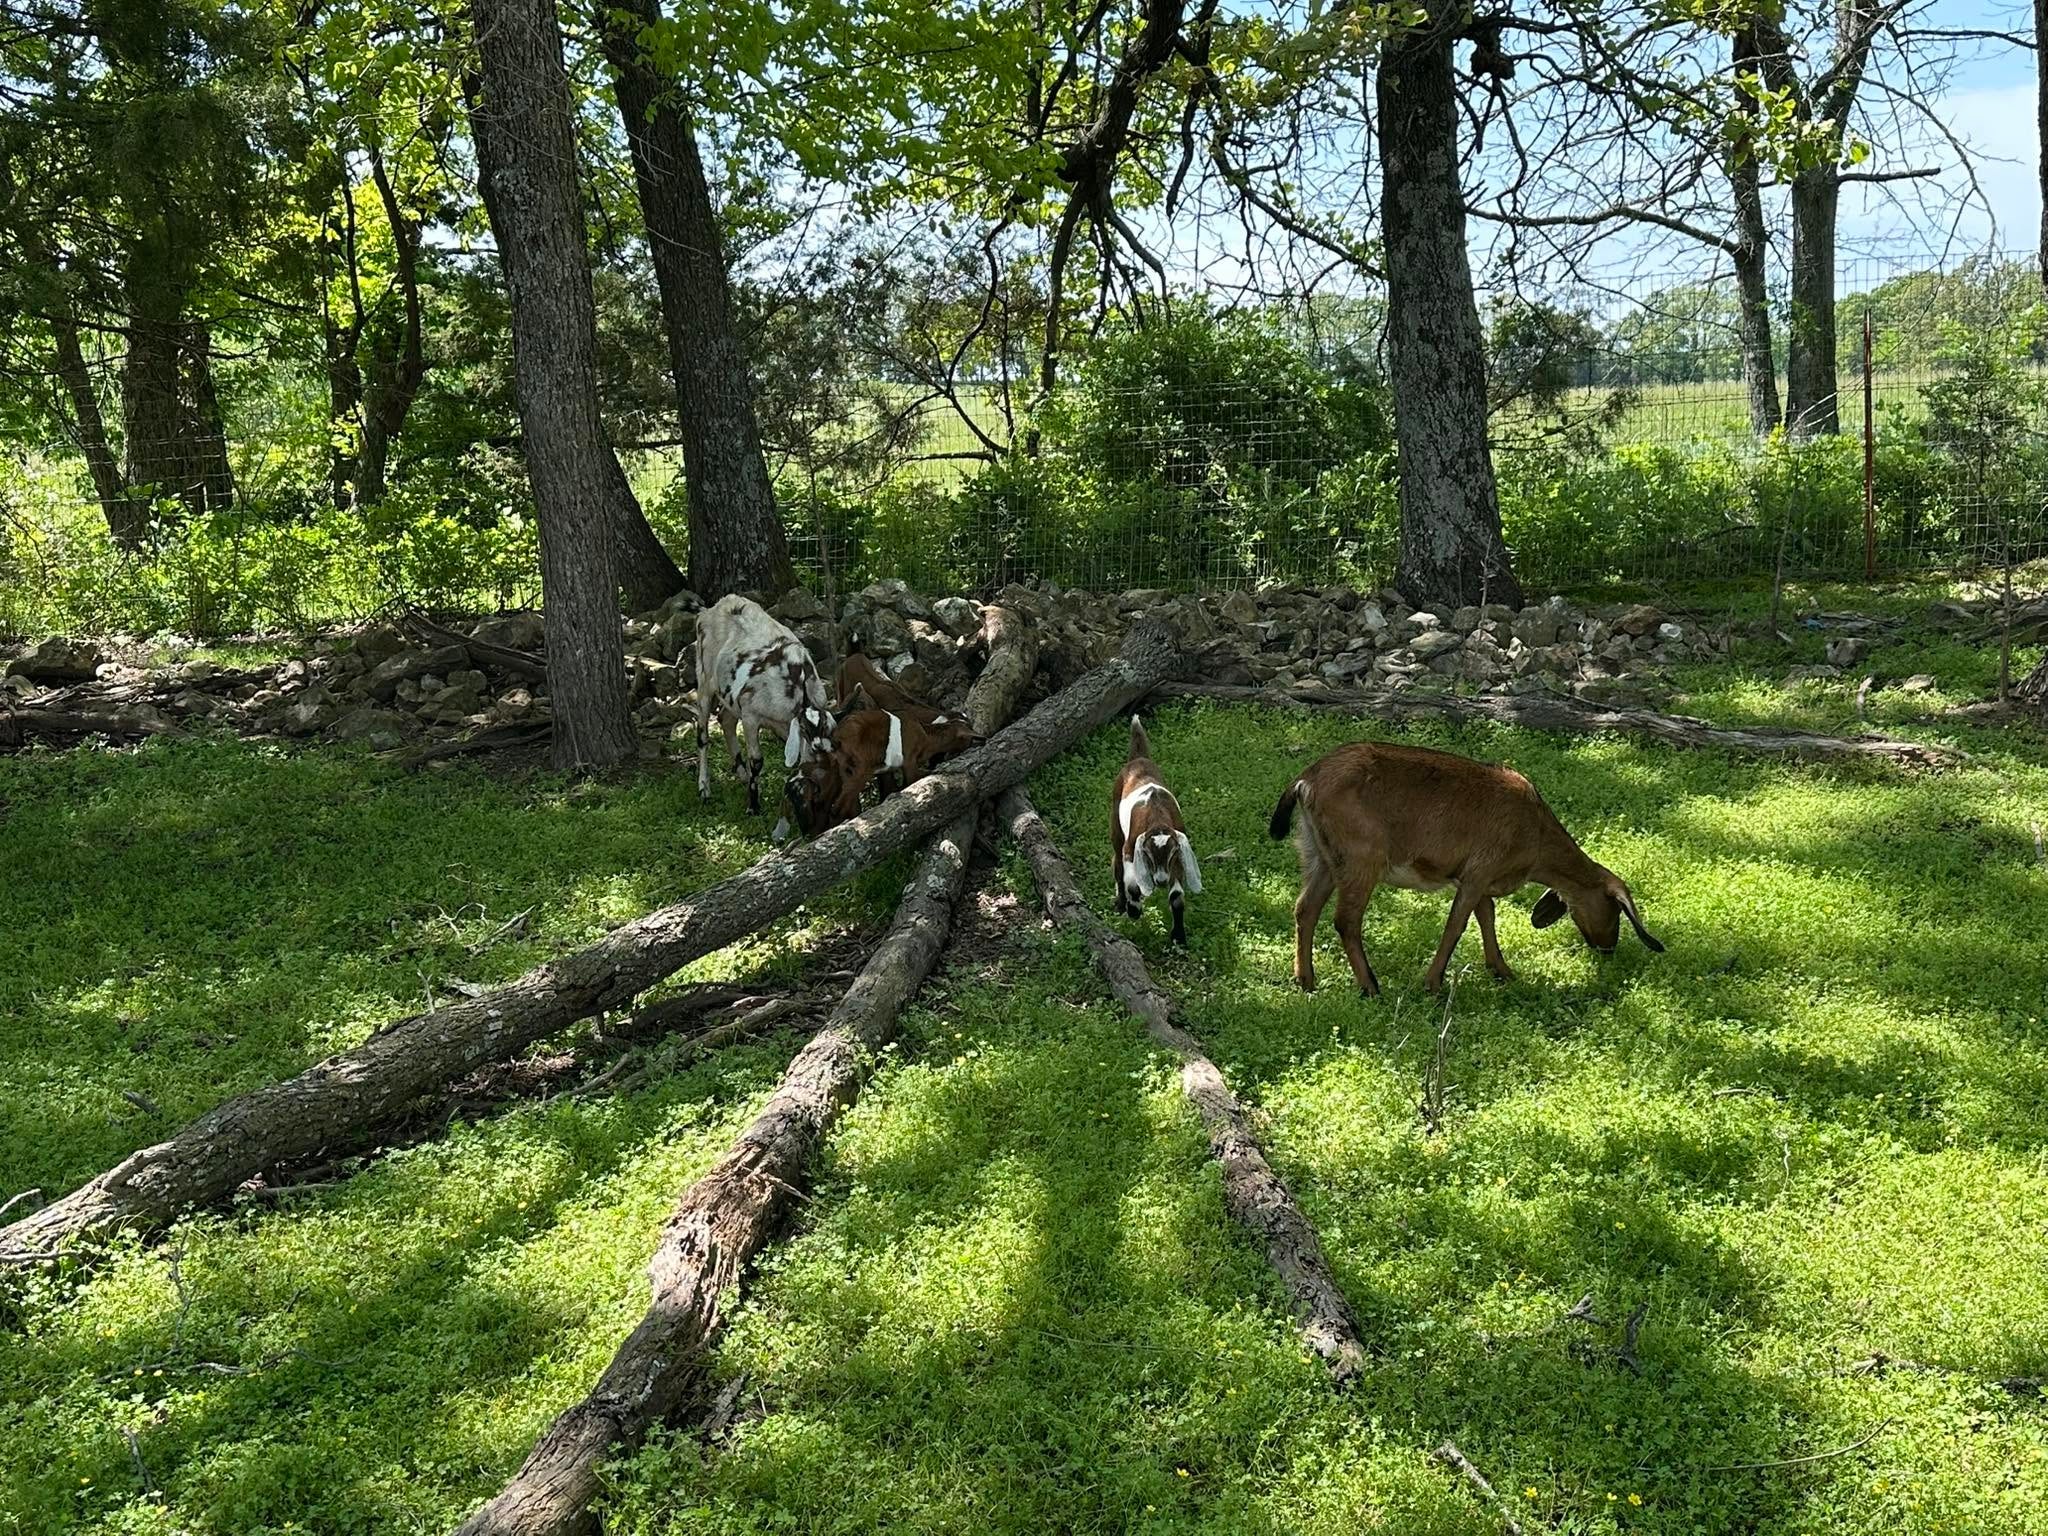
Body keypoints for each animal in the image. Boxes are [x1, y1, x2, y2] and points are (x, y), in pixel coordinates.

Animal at [694, 594, 835, 839]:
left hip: (730, 698)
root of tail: (711, 609)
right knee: (703, 735)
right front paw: (753, 807)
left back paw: (741, 773)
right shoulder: (751, 716)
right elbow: (758, 761)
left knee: (726, 720)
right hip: (704, 680)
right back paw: (705, 788)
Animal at [785, 687, 977, 835]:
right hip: (859, 771)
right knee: (838, 809)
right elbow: (915, 780)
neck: (926, 736)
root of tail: (837, 740)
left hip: (847, 773)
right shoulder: (909, 763)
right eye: (967, 737)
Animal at [1112, 715, 1201, 946]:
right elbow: (1133, 885)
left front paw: (1179, 937)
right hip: (1114, 822)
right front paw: (1134, 911)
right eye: (1149, 855)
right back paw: (1120, 903)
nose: (1160, 881)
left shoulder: (1177, 857)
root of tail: (1138, 759)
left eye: (1170, 854)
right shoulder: (1130, 849)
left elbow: (1176, 898)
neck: (1157, 817)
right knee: (1116, 862)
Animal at [1267, 740, 1663, 996]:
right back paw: (1370, 986)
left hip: (1319, 853)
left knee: (1305, 909)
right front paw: (1432, 983)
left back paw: (1306, 980)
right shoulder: (1479, 870)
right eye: (1616, 909)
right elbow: (1457, 925)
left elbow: (1486, 917)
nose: (1607, 947)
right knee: (1345, 921)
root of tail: (1305, 781)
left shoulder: (1479, 876)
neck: (1534, 835)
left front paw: (1502, 970)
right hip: (1362, 856)